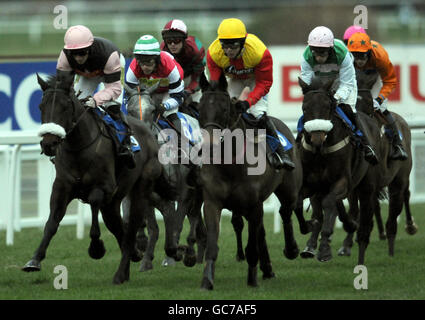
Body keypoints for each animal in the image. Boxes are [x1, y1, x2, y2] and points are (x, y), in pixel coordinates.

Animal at [22, 72, 166, 284]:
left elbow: (94, 205)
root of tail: (149, 132)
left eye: (65, 107)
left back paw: (121, 272)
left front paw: (96, 248)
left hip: (140, 190)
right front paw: (34, 260)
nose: (49, 143)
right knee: (118, 227)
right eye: (41, 106)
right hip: (113, 202)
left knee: (131, 229)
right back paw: (130, 262)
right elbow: (52, 223)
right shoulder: (61, 187)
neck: (78, 148)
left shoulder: (103, 187)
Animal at [197, 73, 306, 290]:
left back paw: (291, 250)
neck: (231, 165)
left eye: (224, 109)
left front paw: (252, 279)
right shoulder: (212, 202)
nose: (209, 146)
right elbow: (212, 244)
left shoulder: (254, 205)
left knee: (285, 212)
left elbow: (251, 246)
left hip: (288, 189)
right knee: (262, 231)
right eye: (200, 109)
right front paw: (207, 280)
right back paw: (268, 268)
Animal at [296, 76, 380, 264]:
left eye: (327, 106)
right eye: (305, 107)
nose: (317, 138)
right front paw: (310, 228)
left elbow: (329, 204)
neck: (321, 152)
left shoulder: (342, 181)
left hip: (367, 185)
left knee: (362, 214)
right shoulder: (310, 185)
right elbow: (299, 204)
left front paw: (325, 249)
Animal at [336, 70, 416, 258]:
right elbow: (354, 210)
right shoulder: (356, 183)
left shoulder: (372, 180)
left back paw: (404, 229)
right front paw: (347, 244)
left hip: (401, 175)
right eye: (349, 105)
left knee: (402, 197)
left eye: (366, 101)